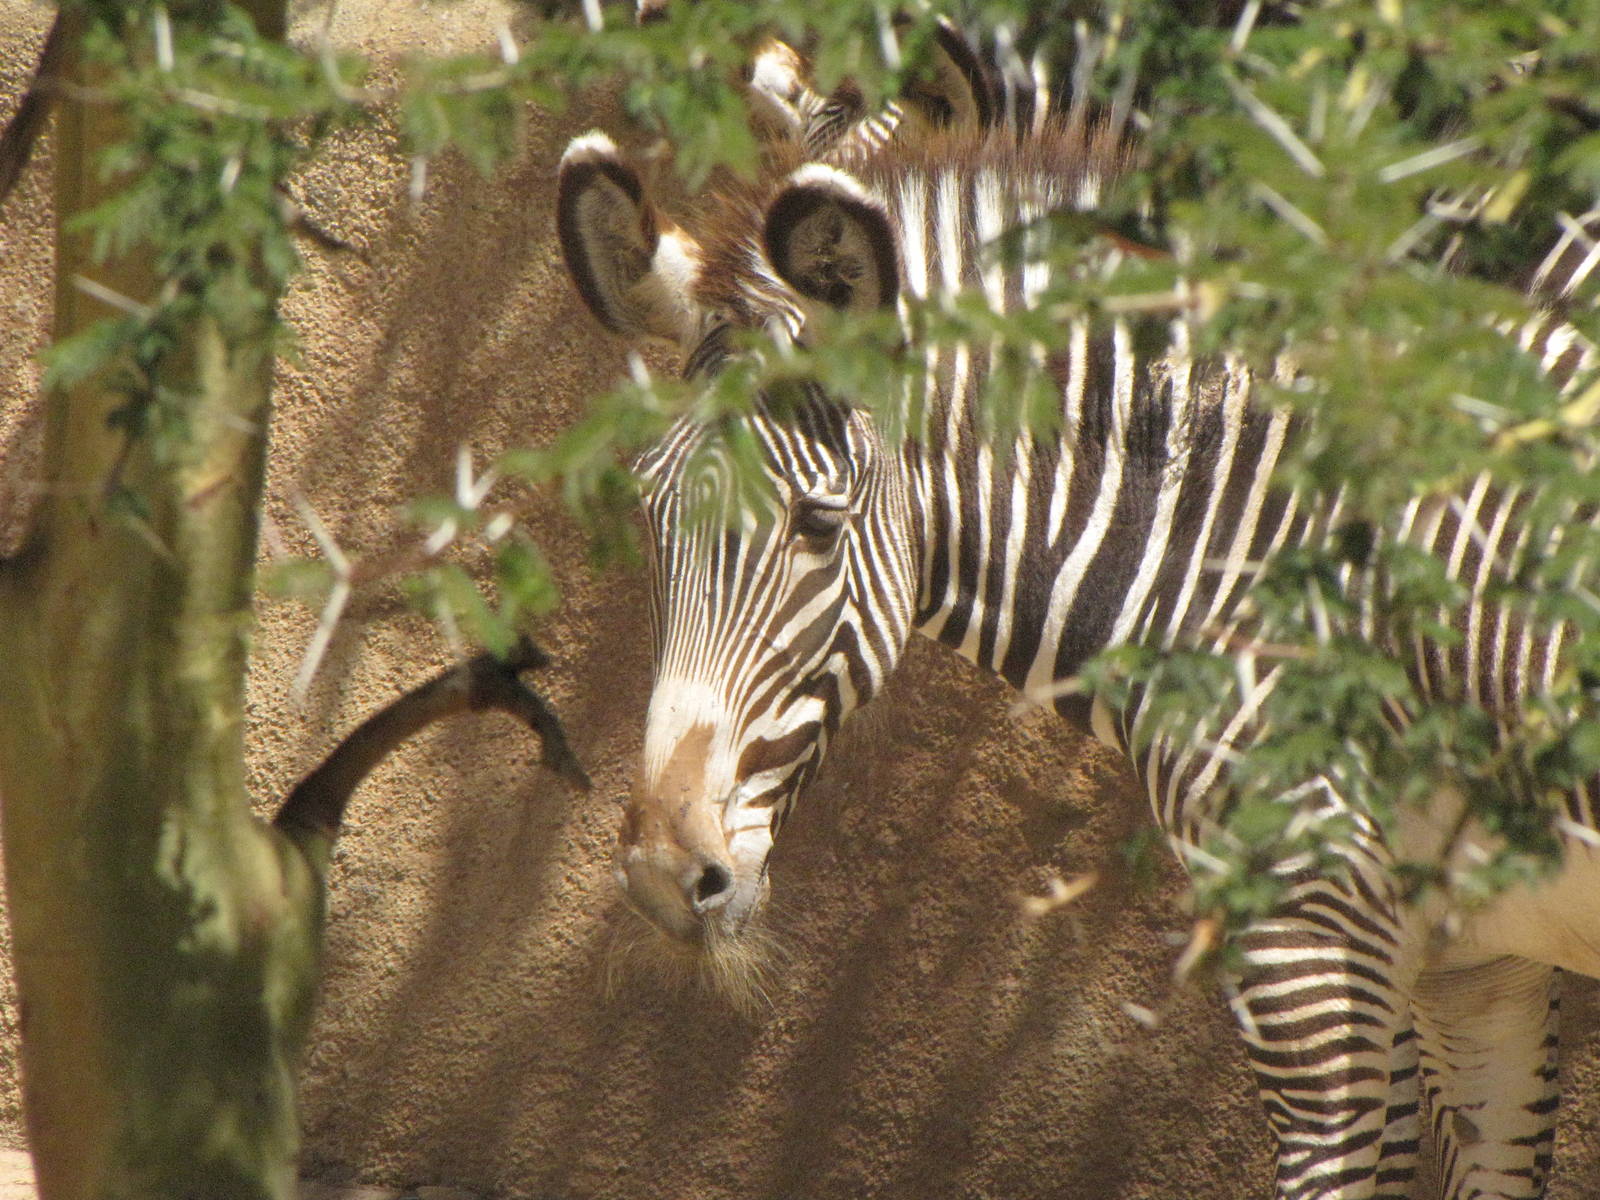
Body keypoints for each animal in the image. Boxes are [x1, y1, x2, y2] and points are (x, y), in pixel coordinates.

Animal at [554, 26, 1600, 1200]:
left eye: (816, 523)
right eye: (650, 519)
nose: (658, 879)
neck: (1243, 517)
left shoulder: (1305, 933)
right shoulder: (1474, 969)